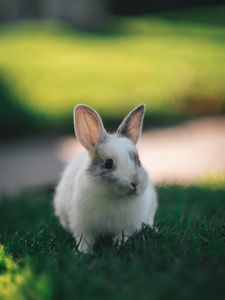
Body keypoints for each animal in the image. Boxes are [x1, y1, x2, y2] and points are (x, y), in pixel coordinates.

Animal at [53, 103, 157, 253]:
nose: (135, 183)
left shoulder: (126, 227)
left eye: (138, 161)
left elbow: (122, 237)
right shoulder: (83, 226)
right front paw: (83, 252)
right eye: (108, 163)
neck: (113, 196)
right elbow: (84, 240)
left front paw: (119, 247)